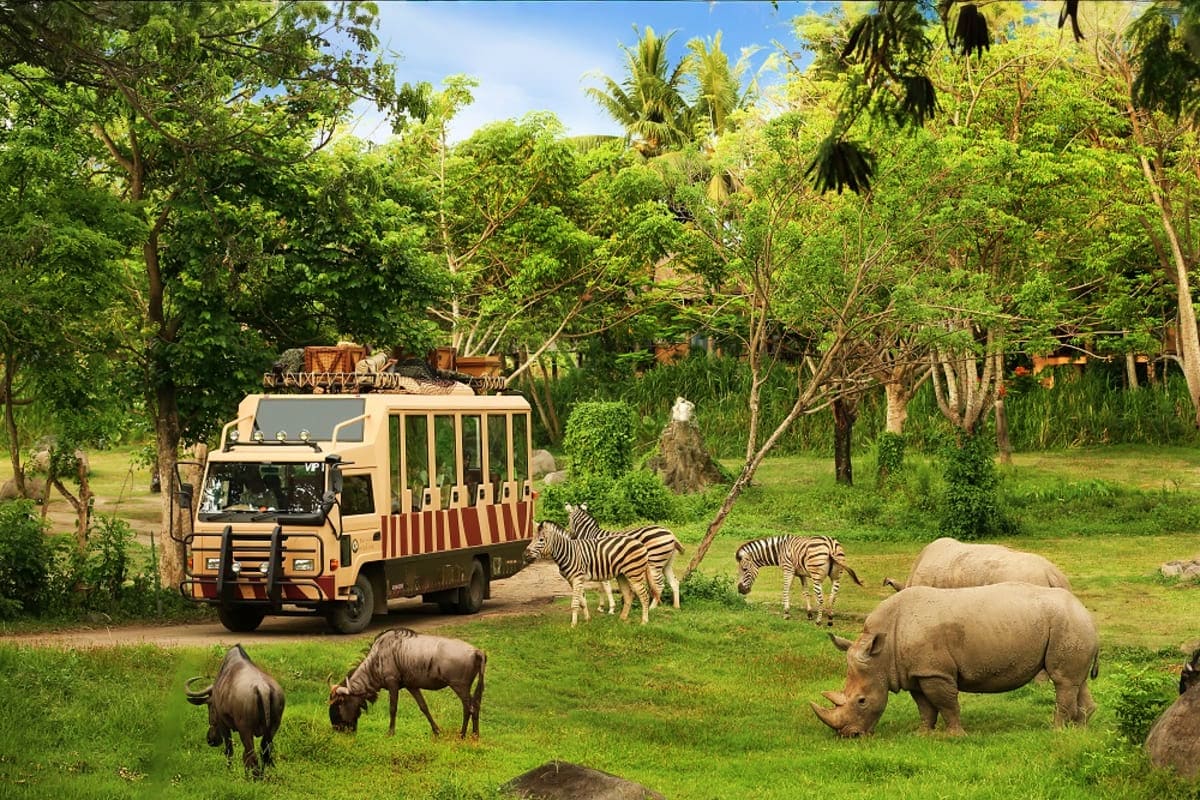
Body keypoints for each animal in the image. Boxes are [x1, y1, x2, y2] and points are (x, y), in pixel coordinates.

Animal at [523, 520, 661, 627]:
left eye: (541, 540)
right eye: (532, 539)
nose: (525, 555)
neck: (568, 552)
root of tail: (641, 543)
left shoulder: (577, 578)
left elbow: (575, 603)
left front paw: (573, 625)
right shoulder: (572, 580)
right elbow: (582, 601)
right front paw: (587, 619)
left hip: (634, 573)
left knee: (644, 596)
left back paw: (644, 621)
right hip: (622, 574)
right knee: (628, 595)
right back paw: (622, 618)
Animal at [734, 535, 863, 625]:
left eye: (744, 569)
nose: (740, 590)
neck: (780, 551)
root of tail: (831, 545)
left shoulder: (788, 570)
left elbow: (785, 590)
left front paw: (786, 613)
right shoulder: (802, 574)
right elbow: (805, 592)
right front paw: (809, 614)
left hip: (817, 576)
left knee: (821, 598)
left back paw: (819, 621)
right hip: (836, 576)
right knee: (833, 597)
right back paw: (830, 619)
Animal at [811, 582, 1098, 737]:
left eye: (861, 701)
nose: (850, 736)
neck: (882, 652)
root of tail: (1085, 611)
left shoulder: (935, 672)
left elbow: (947, 704)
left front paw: (955, 736)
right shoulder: (916, 672)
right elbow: (925, 707)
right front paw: (922, 734)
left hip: (1067, 623)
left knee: (1063, 681)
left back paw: (1056, 730)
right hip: (1072, 625)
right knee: (1077, 681)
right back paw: (1080, 730)